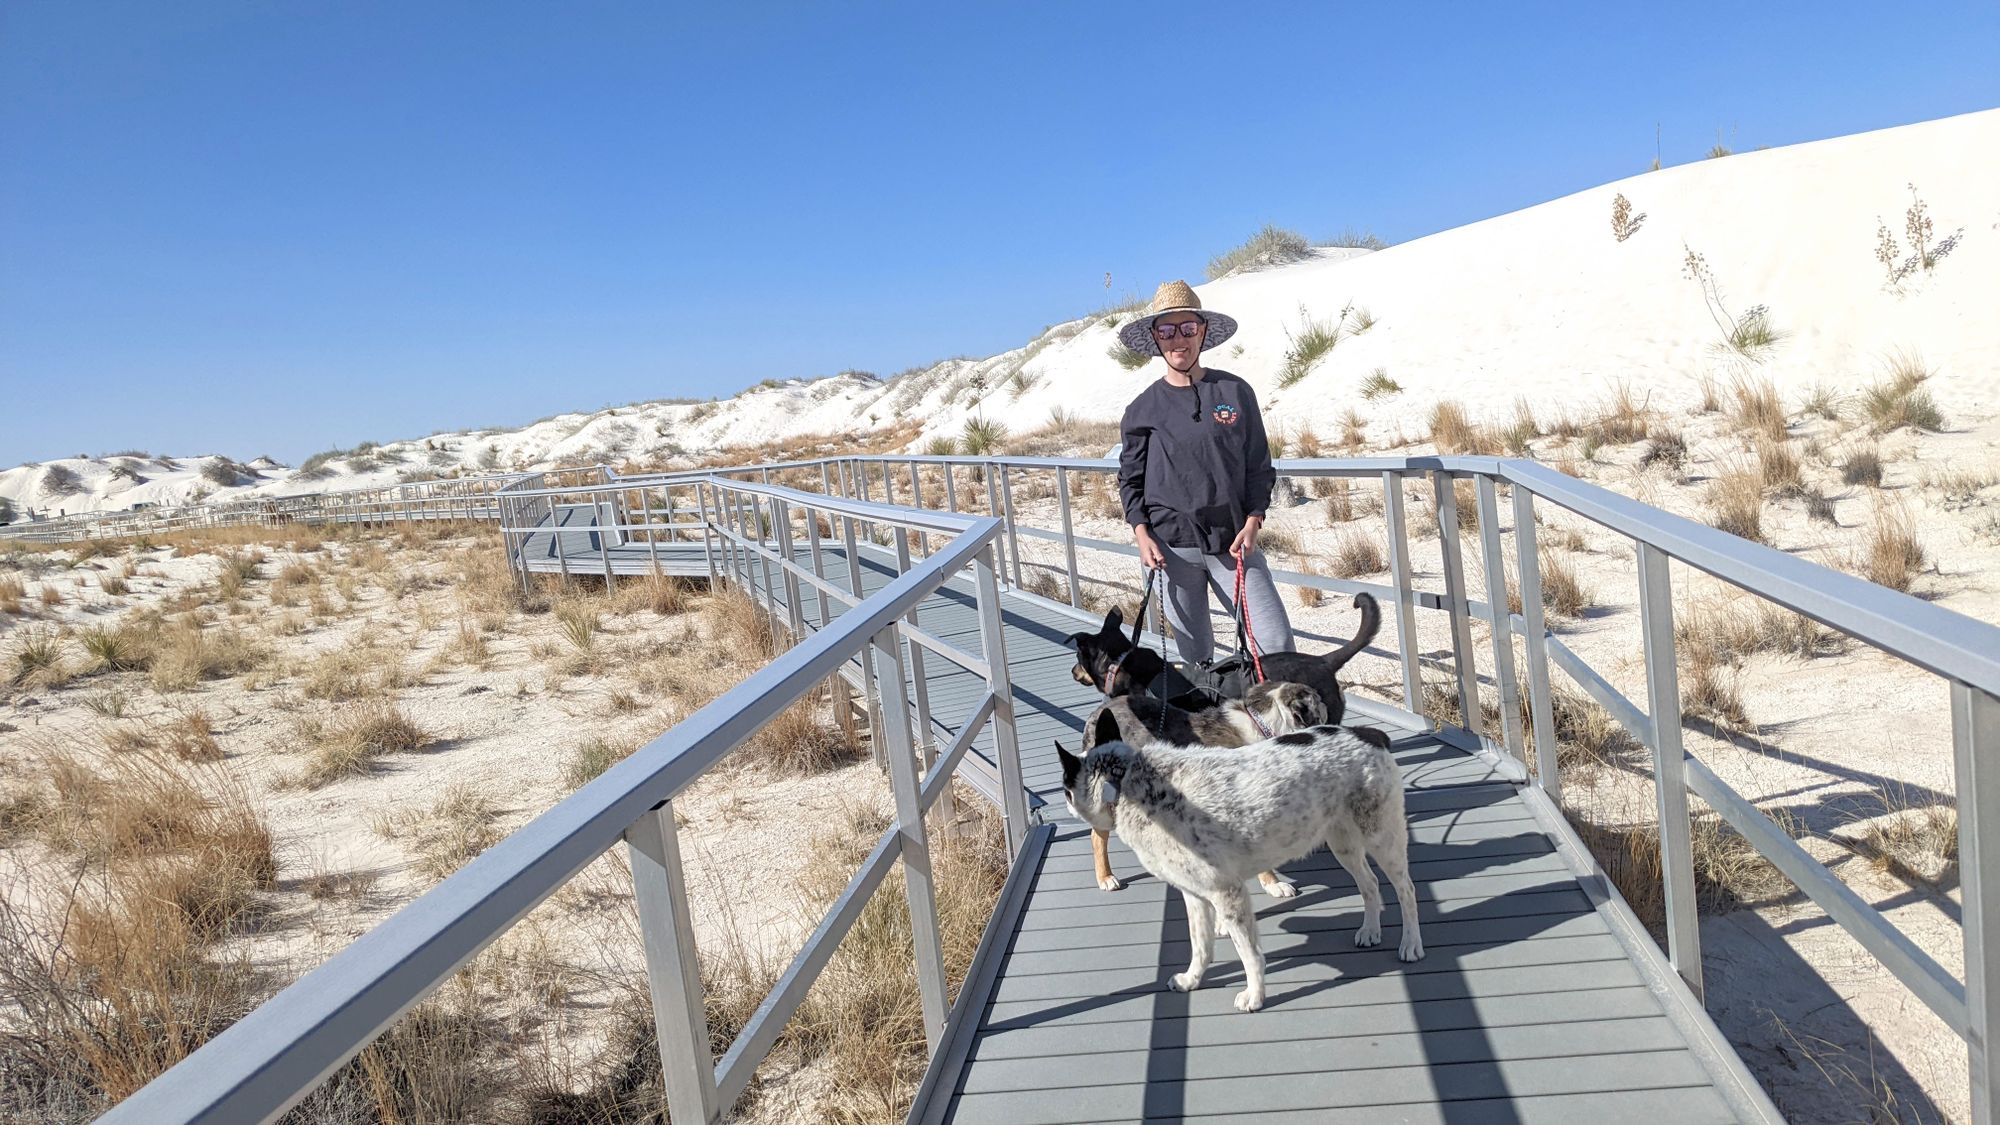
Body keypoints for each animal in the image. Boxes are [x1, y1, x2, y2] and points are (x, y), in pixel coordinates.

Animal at [1064, 712, 1424, 1012]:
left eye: (1066, 787)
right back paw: (1370, 930)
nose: (1065, 804)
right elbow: (1200, 945)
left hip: (1382, 838)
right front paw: (1191, 980)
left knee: (1406, 890)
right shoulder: (1194, 895)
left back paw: (1410, 944)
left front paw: (1255, 996)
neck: (1125, 784)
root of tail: (1370, 733)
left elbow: (1249, 955)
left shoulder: (1228, 893)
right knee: (1370, 884)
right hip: (1343, 843)